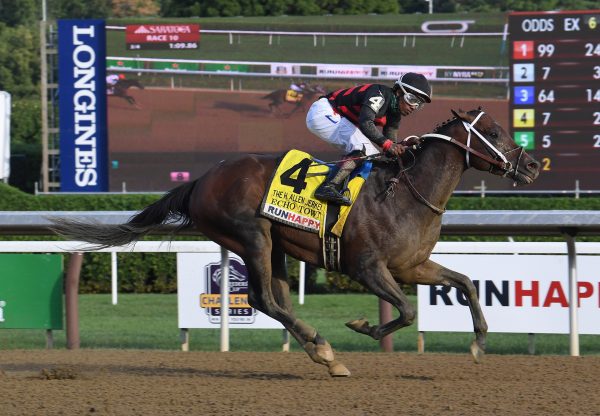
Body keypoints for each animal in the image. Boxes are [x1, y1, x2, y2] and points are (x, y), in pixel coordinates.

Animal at [51, 109, 540, 378]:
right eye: (494, 133)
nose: (533, 165)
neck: (406, 192)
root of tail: (200, 181)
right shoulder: (367, 268)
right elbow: (406, 311)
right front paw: (363, 327)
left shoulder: (411, 266)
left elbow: (466, 283)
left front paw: (478, 343)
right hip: (253, 237)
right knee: (263, 298)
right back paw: (322, 346)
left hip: (277, 246)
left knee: (277, 300)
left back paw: (321, 353)